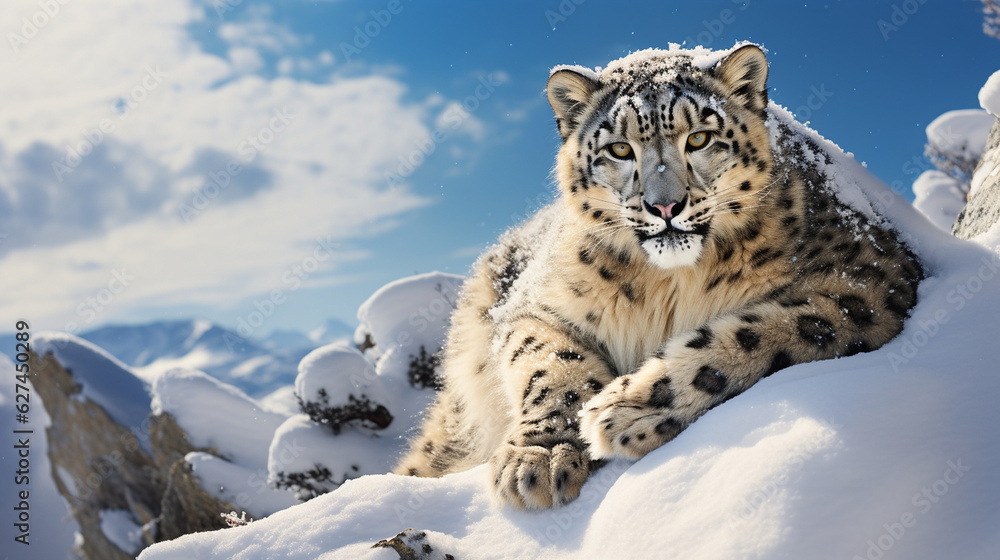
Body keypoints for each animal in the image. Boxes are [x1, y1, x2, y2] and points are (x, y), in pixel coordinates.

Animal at [394, 43, 923, 510]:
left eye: (699, 138)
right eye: (619, 149)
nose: (664, 206)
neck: (668, 286)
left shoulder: (869, 280)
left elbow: (771, 331)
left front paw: (627, 410)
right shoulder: (536, 307)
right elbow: (551, 365)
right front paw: (540, 459)